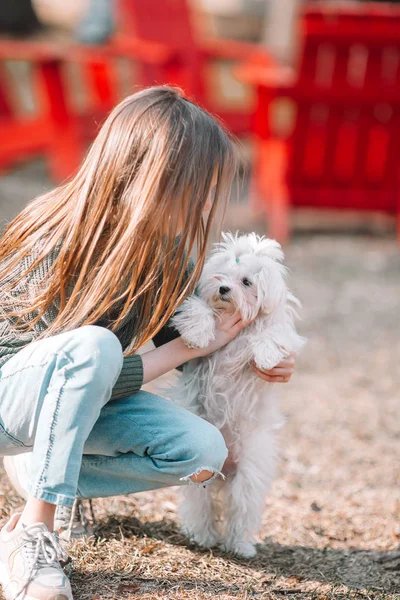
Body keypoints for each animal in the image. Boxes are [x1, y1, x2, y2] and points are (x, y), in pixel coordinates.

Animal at [170, 233, 304, 556]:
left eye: (246, 281)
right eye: (221, 274)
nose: (223, 288)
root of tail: (224, 470)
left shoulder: (279, 330)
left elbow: (272, 334)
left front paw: (266, 356)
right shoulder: (202, 308)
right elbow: (199, 310)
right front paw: (199, 334)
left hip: (248, 476)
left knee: (240, 512)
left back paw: (240, 545)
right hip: (200, 477)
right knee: (201, 505)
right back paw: (203, 537)